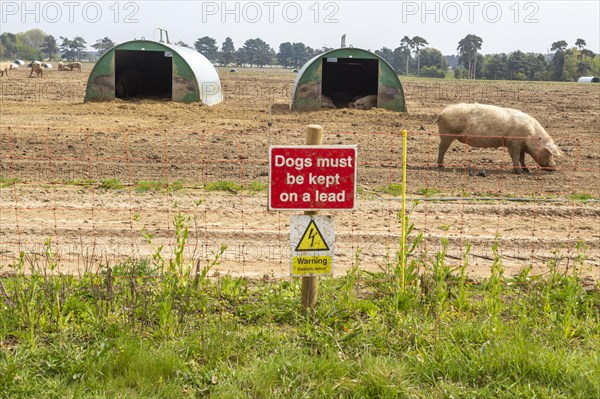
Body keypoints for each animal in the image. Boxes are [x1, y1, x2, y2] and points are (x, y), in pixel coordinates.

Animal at [436, 103, 564, 173]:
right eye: (549, 153)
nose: (554, 168)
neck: (531, 135)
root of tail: (441, 113)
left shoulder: (521, 145)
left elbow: (522, 158)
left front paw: (527, 170)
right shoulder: (513, 143)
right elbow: (515, 157)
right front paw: (518, 172)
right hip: (447, 134)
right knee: (441, 149)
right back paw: (441, 167)